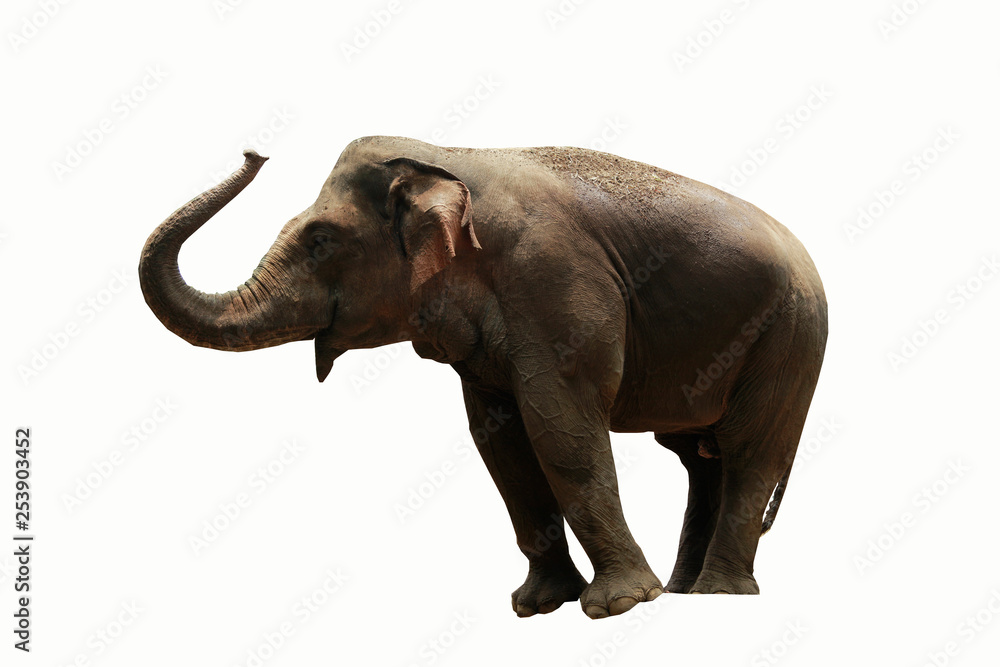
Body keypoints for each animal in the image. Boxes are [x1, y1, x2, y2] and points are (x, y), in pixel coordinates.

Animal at [139, 136, 828, 618]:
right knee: (698, 457)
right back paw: (687, 591)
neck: (444, 158)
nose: (254, 152)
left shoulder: (556, 282)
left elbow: (561, 427)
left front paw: (618, 606)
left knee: (749, 451)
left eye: (320, 240)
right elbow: (500, 441)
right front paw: (536, 607)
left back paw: (718, 596)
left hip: (791, 339)